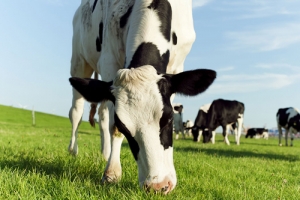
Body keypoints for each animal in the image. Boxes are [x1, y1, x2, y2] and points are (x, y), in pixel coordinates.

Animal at [67, 0, 216, 194]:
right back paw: (73, 150)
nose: (158, 186)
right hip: (79, 60)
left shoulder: (177, 66)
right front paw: (111, 173)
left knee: (102, 114)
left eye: (169, 118)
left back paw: (105, 153)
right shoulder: (108, 62)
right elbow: (113, 127)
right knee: (76, 112)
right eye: (124, 127)